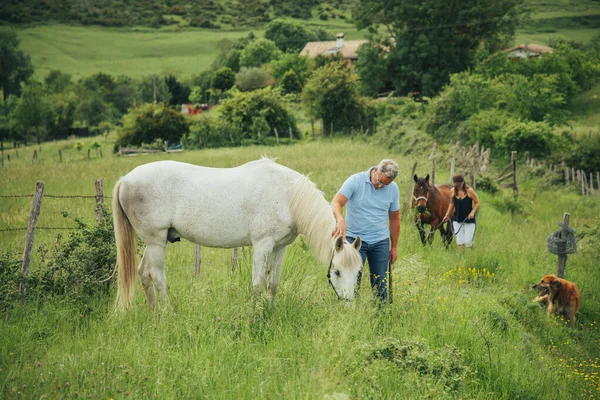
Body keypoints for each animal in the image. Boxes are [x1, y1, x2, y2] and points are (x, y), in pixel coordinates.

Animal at [113, 158, 366, 310]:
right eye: (336, 271)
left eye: (358, 272)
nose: (349, 304)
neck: (287, 194)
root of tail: (125, 179)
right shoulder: (262, 245)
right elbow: (257, 283)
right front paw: (255, 315)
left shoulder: (279, 248)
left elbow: (273, 284)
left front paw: (269, 311)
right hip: (156, 241)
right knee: (157, 276)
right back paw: (167, 314)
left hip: (154, 242)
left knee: (143, 273)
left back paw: (154, 314)